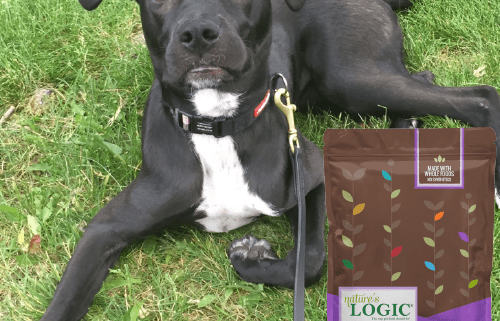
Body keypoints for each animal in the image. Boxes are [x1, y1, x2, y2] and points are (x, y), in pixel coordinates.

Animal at [41, 0, 500, 318]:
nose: (198, 34)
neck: (219, 124)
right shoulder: (107, 228)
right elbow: (63, 302)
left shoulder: (309, 175)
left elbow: (309, 259)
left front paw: (249, 257)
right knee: (425, 83)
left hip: (349, 78)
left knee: (480, 98)